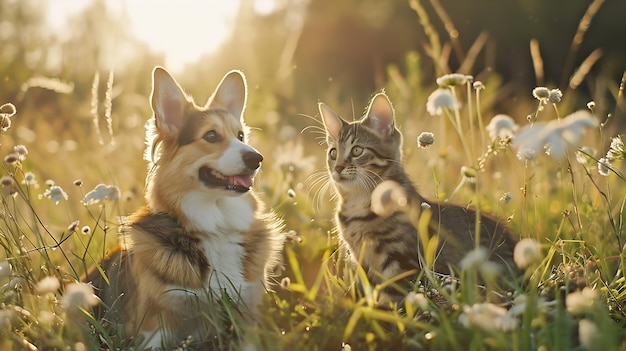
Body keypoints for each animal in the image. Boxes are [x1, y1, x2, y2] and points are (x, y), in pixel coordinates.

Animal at [86, 67, 282, 350]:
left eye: (241, 136)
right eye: (211, 135)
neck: (216, 227)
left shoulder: (248, 315)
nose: (257, 159)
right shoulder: (155, 326)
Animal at [316, 92, 516, 304]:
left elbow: (392, 300)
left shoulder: (401, 262)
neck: (359, 206)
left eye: (357, 150)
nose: (337, 168)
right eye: (333, 153)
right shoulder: (361, 259)